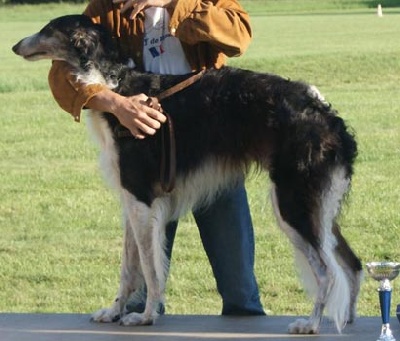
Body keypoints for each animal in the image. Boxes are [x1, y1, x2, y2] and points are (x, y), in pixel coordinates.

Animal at [12, 14, 362, 334]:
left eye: (48, 29)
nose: (15, 45)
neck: (118, 87)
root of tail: (325, 113)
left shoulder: (142, 198)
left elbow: (150, 269)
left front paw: (145, 316)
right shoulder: (131, 201)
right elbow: (128, 268)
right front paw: (113, 311)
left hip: (292, 204)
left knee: (327, 272)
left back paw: (311, 324)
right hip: (318, 207)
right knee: (352, 264)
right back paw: (348, 319)